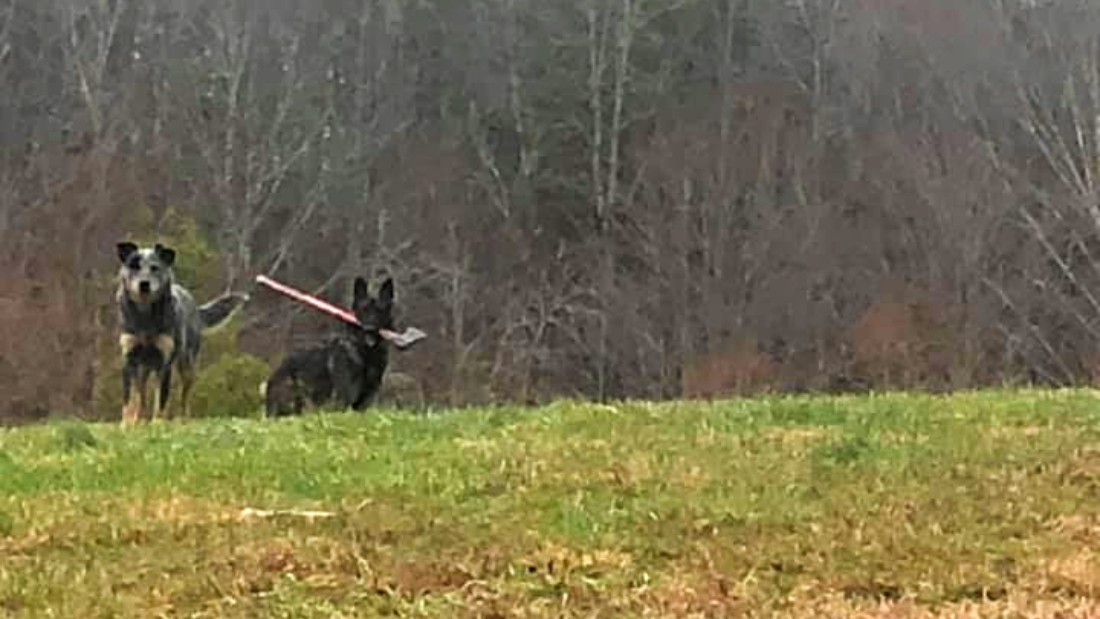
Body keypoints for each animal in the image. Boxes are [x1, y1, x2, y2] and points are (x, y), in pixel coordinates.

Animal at [116, 239, 249, 424]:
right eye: (133, 266)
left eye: (155, 267)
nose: (144, 284)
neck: (146, 315)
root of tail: (195, 306)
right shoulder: (129, 359)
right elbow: (130, 399)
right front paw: (127, 424)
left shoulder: (165, 362)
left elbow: (161, 400)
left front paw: (158, 424)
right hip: (144, 368)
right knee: (141, 394)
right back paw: (140, 420)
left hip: (187, 363)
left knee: (184, 396)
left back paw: (182, 419)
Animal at [261, 277, 396, 415]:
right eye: (363, 311)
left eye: (380, 311)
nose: (369, 329)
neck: (365, 353)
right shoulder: (344, 400)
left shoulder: (365, 400)